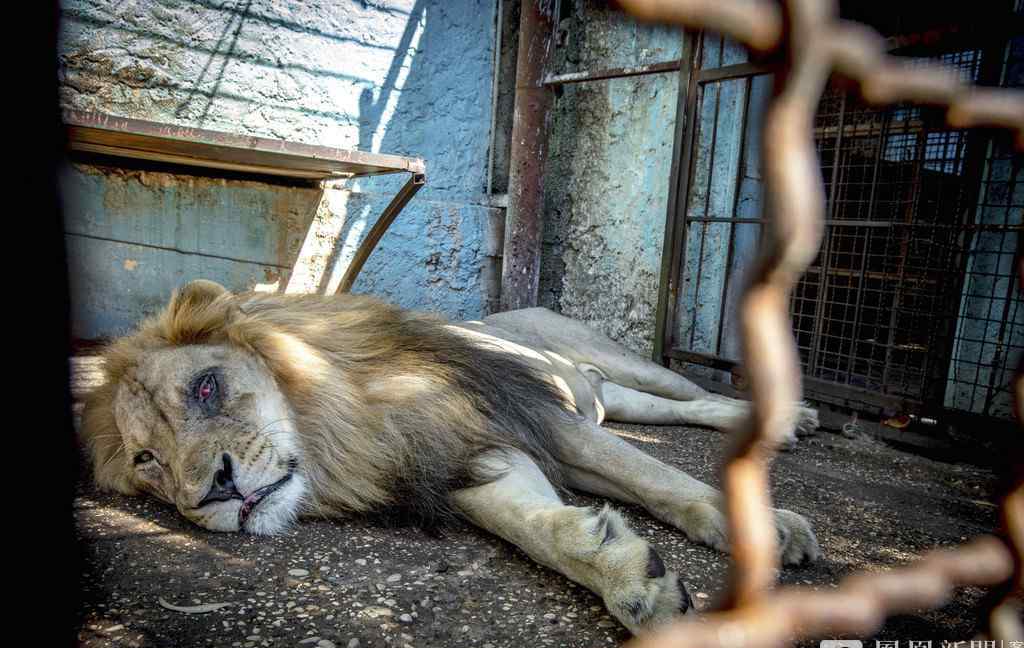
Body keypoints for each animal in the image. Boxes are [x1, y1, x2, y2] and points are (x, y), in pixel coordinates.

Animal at [81, 278, 823, 630]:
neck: (344, 426)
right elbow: (534, 527)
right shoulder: (458, 458)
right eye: (147, 460)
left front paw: (762, 527)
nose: (211, 491)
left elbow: (652, 473)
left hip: (615, 362)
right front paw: (626, 576)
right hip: (610, 396)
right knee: (674, 410)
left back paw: (791, 417)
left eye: (206, 387)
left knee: (689, 392)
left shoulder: (531, 416)